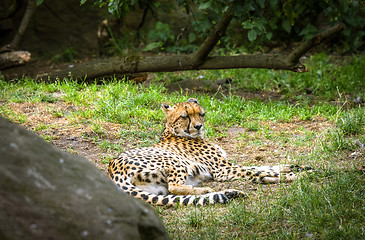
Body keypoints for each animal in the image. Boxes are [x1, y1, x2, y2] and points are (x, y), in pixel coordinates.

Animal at [107, 98, 308, 207]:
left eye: (200, 114)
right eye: (185, 116)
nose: (198, 126)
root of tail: (111, 170)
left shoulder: (228, 166)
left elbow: (265, 167)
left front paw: (298, 168)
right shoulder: (223, 170)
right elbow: (256, 171)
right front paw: (298, 176)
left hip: (157, 188)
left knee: (173, 192)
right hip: (174, 161)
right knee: (175, 186)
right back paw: (205, 189)